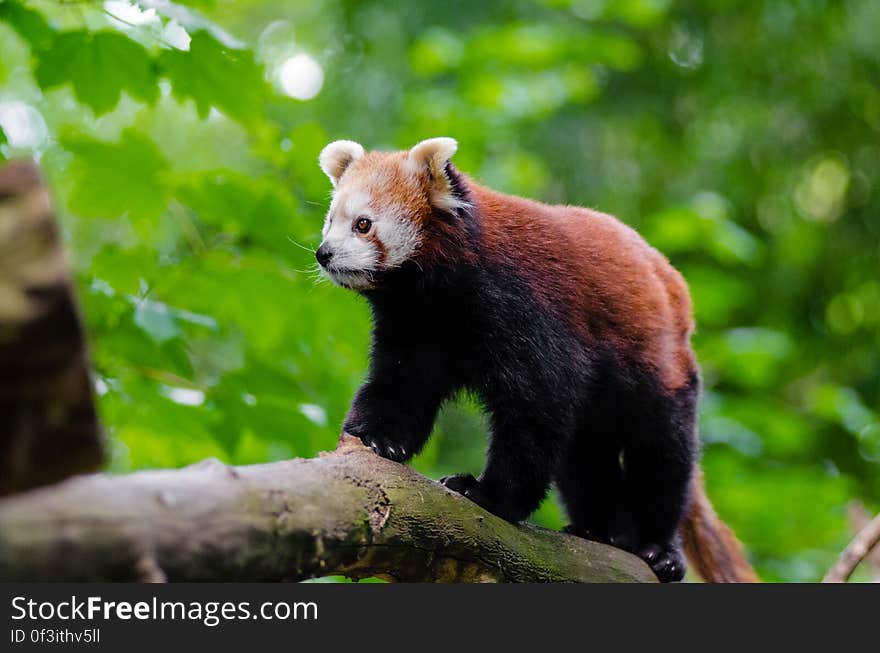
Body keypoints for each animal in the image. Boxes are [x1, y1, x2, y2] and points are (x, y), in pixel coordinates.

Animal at [316, 134, 756, 580]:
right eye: (330, 220)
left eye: (363, 224)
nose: (323, 253)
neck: (442, 292)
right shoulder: (418, 328)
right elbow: (401, 386)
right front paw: (375, 438)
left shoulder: (526, 309)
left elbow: (536, 407)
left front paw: (489, 494)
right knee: (585, 456)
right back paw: (598, 529)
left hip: (661, 368)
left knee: (663, 455)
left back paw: (658, 548)